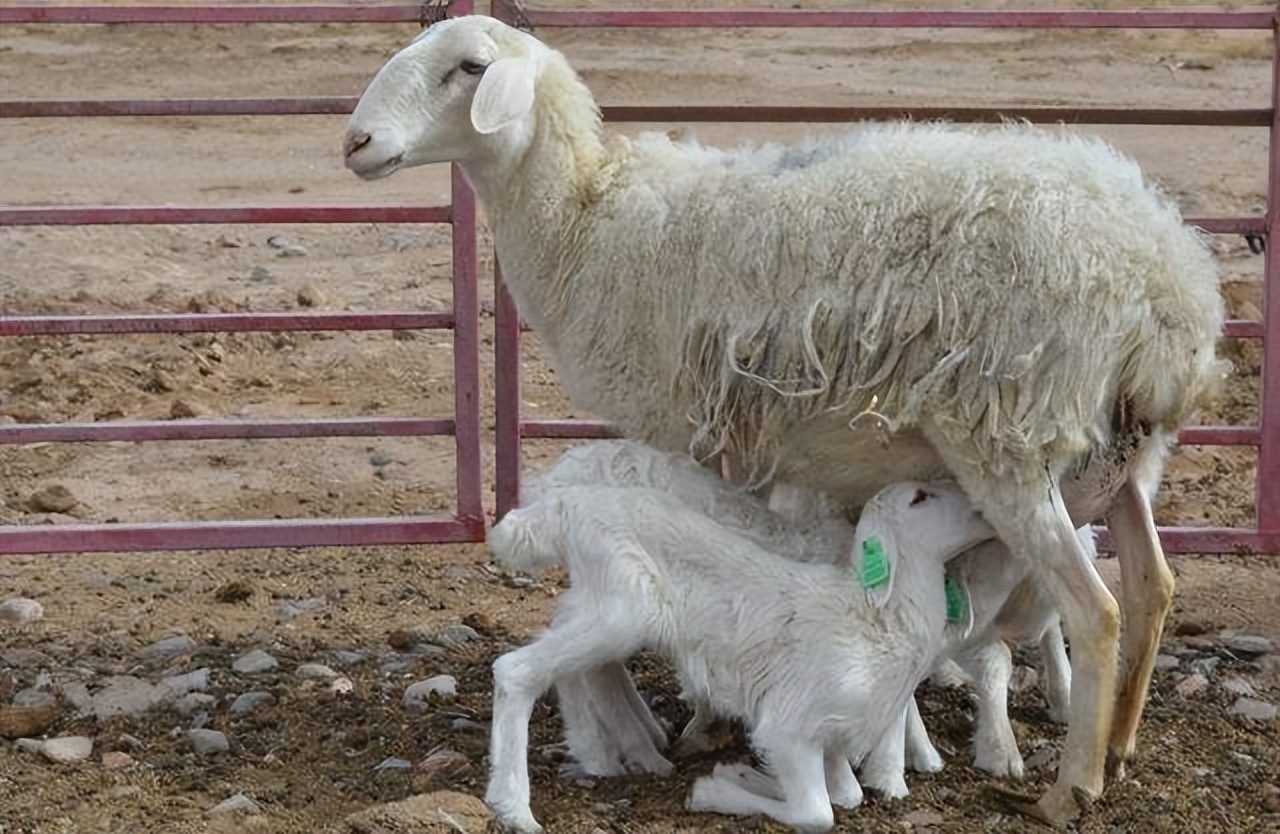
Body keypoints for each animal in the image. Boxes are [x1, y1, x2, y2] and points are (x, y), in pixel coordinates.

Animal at [483, 478, 993, 828]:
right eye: (919, 497)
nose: (981, 509)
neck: (876, 618)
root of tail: (566, 507)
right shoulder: (789, 726)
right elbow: (816, 812)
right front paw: (714, 791)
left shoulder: (832, 735)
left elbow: (845, 796)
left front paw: (744, 776)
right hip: (624, 607)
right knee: (514, 670)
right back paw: (514, 808)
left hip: (599, 604)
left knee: (568, 662)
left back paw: (600, 756)